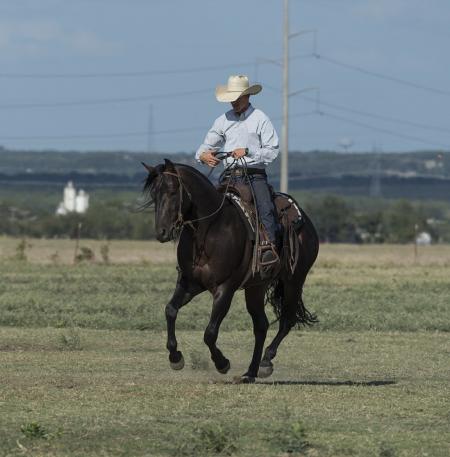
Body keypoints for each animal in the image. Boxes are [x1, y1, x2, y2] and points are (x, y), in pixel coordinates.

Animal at [142, 159, 318, 382]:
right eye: (154, 194)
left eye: (173, 191)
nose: (161, 232)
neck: (209, 230)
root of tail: (305, 220)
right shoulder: (190, 282)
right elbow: (170, 310)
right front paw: (175, 358)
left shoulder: (225, 288)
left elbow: (210, 333)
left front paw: (222, 363)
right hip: (256, 287)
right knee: (261, 325)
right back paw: (250, 373)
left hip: (294, 281)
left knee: (287, 321)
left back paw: (266, 362)